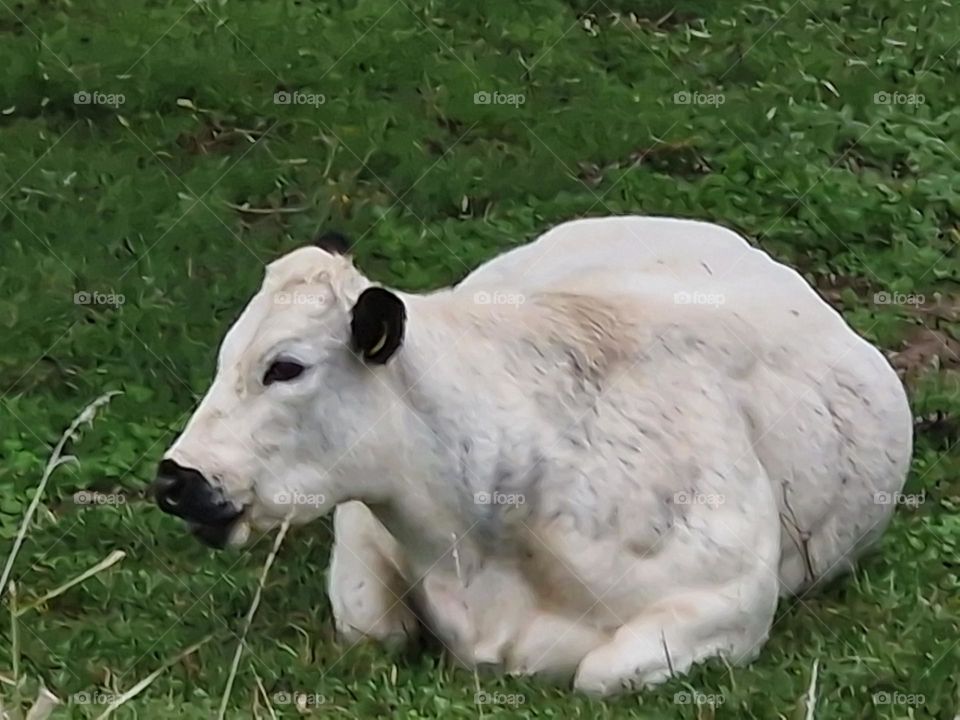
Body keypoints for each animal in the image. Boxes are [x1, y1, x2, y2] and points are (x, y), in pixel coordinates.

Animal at [152, 216, 912, 694]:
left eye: (286, 367)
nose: (175, 479)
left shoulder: (732, 598)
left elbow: (600, 675)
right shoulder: (363, 525)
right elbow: (372, 627)